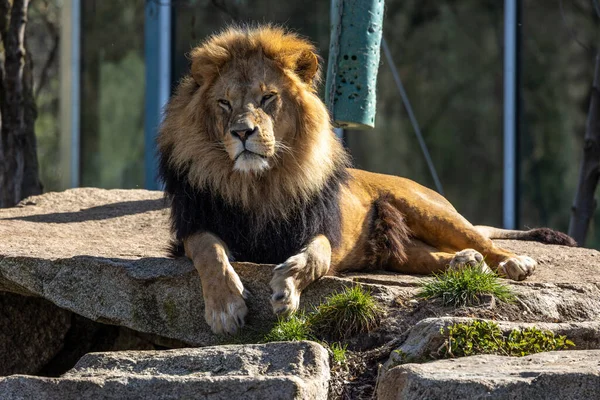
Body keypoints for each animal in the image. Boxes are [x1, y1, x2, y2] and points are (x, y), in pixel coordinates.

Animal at [158, 25, 576, 334]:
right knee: (432, 257)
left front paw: (287, 288)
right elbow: (211, 253)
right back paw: (465, 264)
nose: (242, 132)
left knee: (481, 239)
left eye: (267, 98)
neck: (257, 183)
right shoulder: (193, 227)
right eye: (224, 103)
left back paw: (510, 262)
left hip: (428, 209)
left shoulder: (320, 228)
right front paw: (225, 308)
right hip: (400, 252)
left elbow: (318, 256)